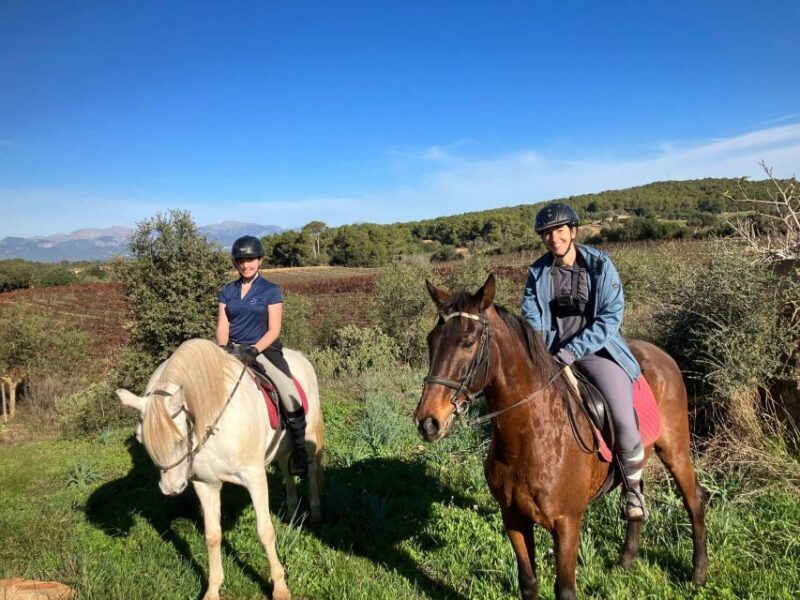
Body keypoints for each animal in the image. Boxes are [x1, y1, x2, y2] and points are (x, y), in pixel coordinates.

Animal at [116, 338, 324, 600]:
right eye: (141, 440)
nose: (171, 488)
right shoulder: (205, 484)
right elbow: (212, 535)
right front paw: (213, 589)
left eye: (179, 439)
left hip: (310, 434)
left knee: (313, 470)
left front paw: (279, 587)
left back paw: (315, 513)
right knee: (287, 472)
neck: (213, 420)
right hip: (281, 448)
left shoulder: (254, 476)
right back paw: (292, 512)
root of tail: (300, 357)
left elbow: (265, 531)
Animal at [413, 275, 707, 600]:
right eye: (431, 340)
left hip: (675, 450)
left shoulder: (567, 524)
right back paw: (626, 560)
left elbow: (565, 590)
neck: (528, 438)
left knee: (694, 500)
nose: (427, 422)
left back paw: (698, 574)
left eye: (466, 342)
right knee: (637, 497)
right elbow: (528, 584)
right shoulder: (513, 517)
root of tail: (661, 355)